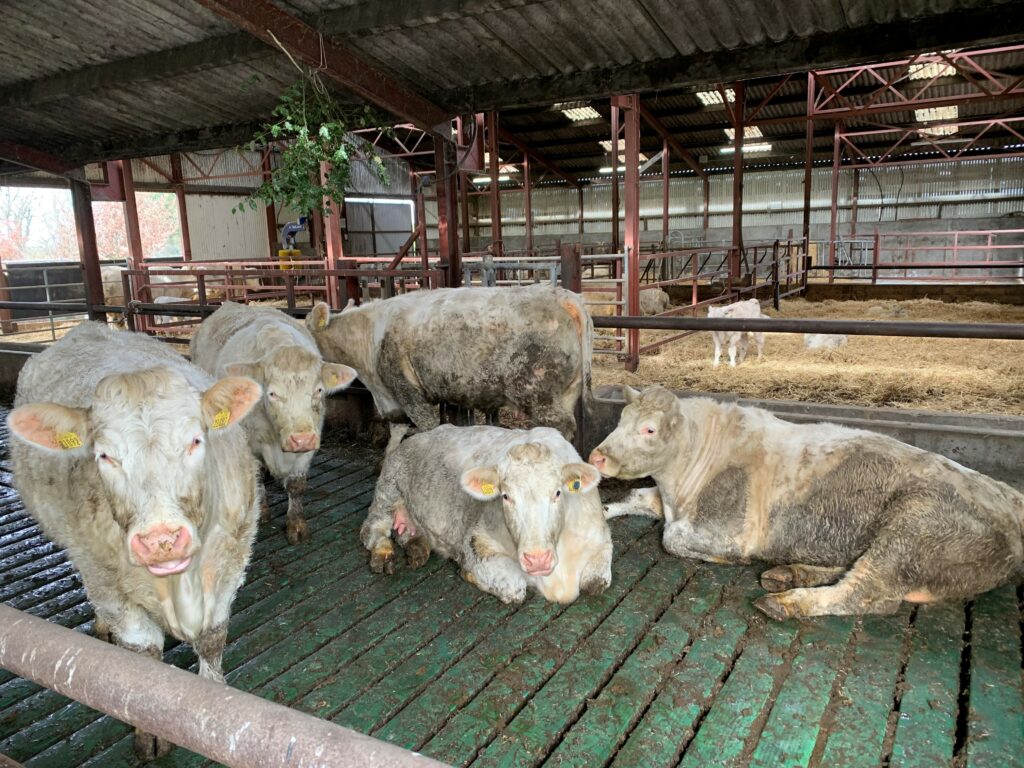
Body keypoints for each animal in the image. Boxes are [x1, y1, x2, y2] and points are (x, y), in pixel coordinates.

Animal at [7, 322, 263, 759]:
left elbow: (213, 639)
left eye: (195, 440)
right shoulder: (109, 585)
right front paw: (151, 730)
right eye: (105, 456)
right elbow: (142, 659)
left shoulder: (229, 563)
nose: (162, 539)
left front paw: (214, 704)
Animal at [190, 302, 356, 544]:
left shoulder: (310, 441)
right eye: (272, 394)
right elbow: (257, 477)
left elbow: (297, 485)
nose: (301, 439)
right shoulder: (251, 444)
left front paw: (296, 525)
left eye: (318, 390)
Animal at [306, 284, 592, 451]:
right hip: (567, 391)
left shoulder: (407, 390)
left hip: (538, 394)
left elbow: (428, 427)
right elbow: (395, 437)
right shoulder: (392, 401)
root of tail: (560, 294)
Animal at [360, 425, 612, 604]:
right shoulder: (476, 543)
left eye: (557, 492)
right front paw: (466, 573)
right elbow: (514, 587)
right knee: (372, 528)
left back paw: (416, 547)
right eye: (506, 496)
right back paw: (383, 554)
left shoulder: (602, 539)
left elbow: (595, 583)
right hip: (388, 488)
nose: (537, 559)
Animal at [589, 385, 1024, 621]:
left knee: (869, 593)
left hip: (913, 530)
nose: (597, 456)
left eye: (649, 429)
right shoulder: (668, 498)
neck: (680, 483)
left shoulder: (729, 529)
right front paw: (602, 512)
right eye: (621, 419)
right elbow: (636, 498)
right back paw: (790, 573)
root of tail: (1008, 497)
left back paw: (786, 601)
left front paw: (728, 559)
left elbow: (673, 537)